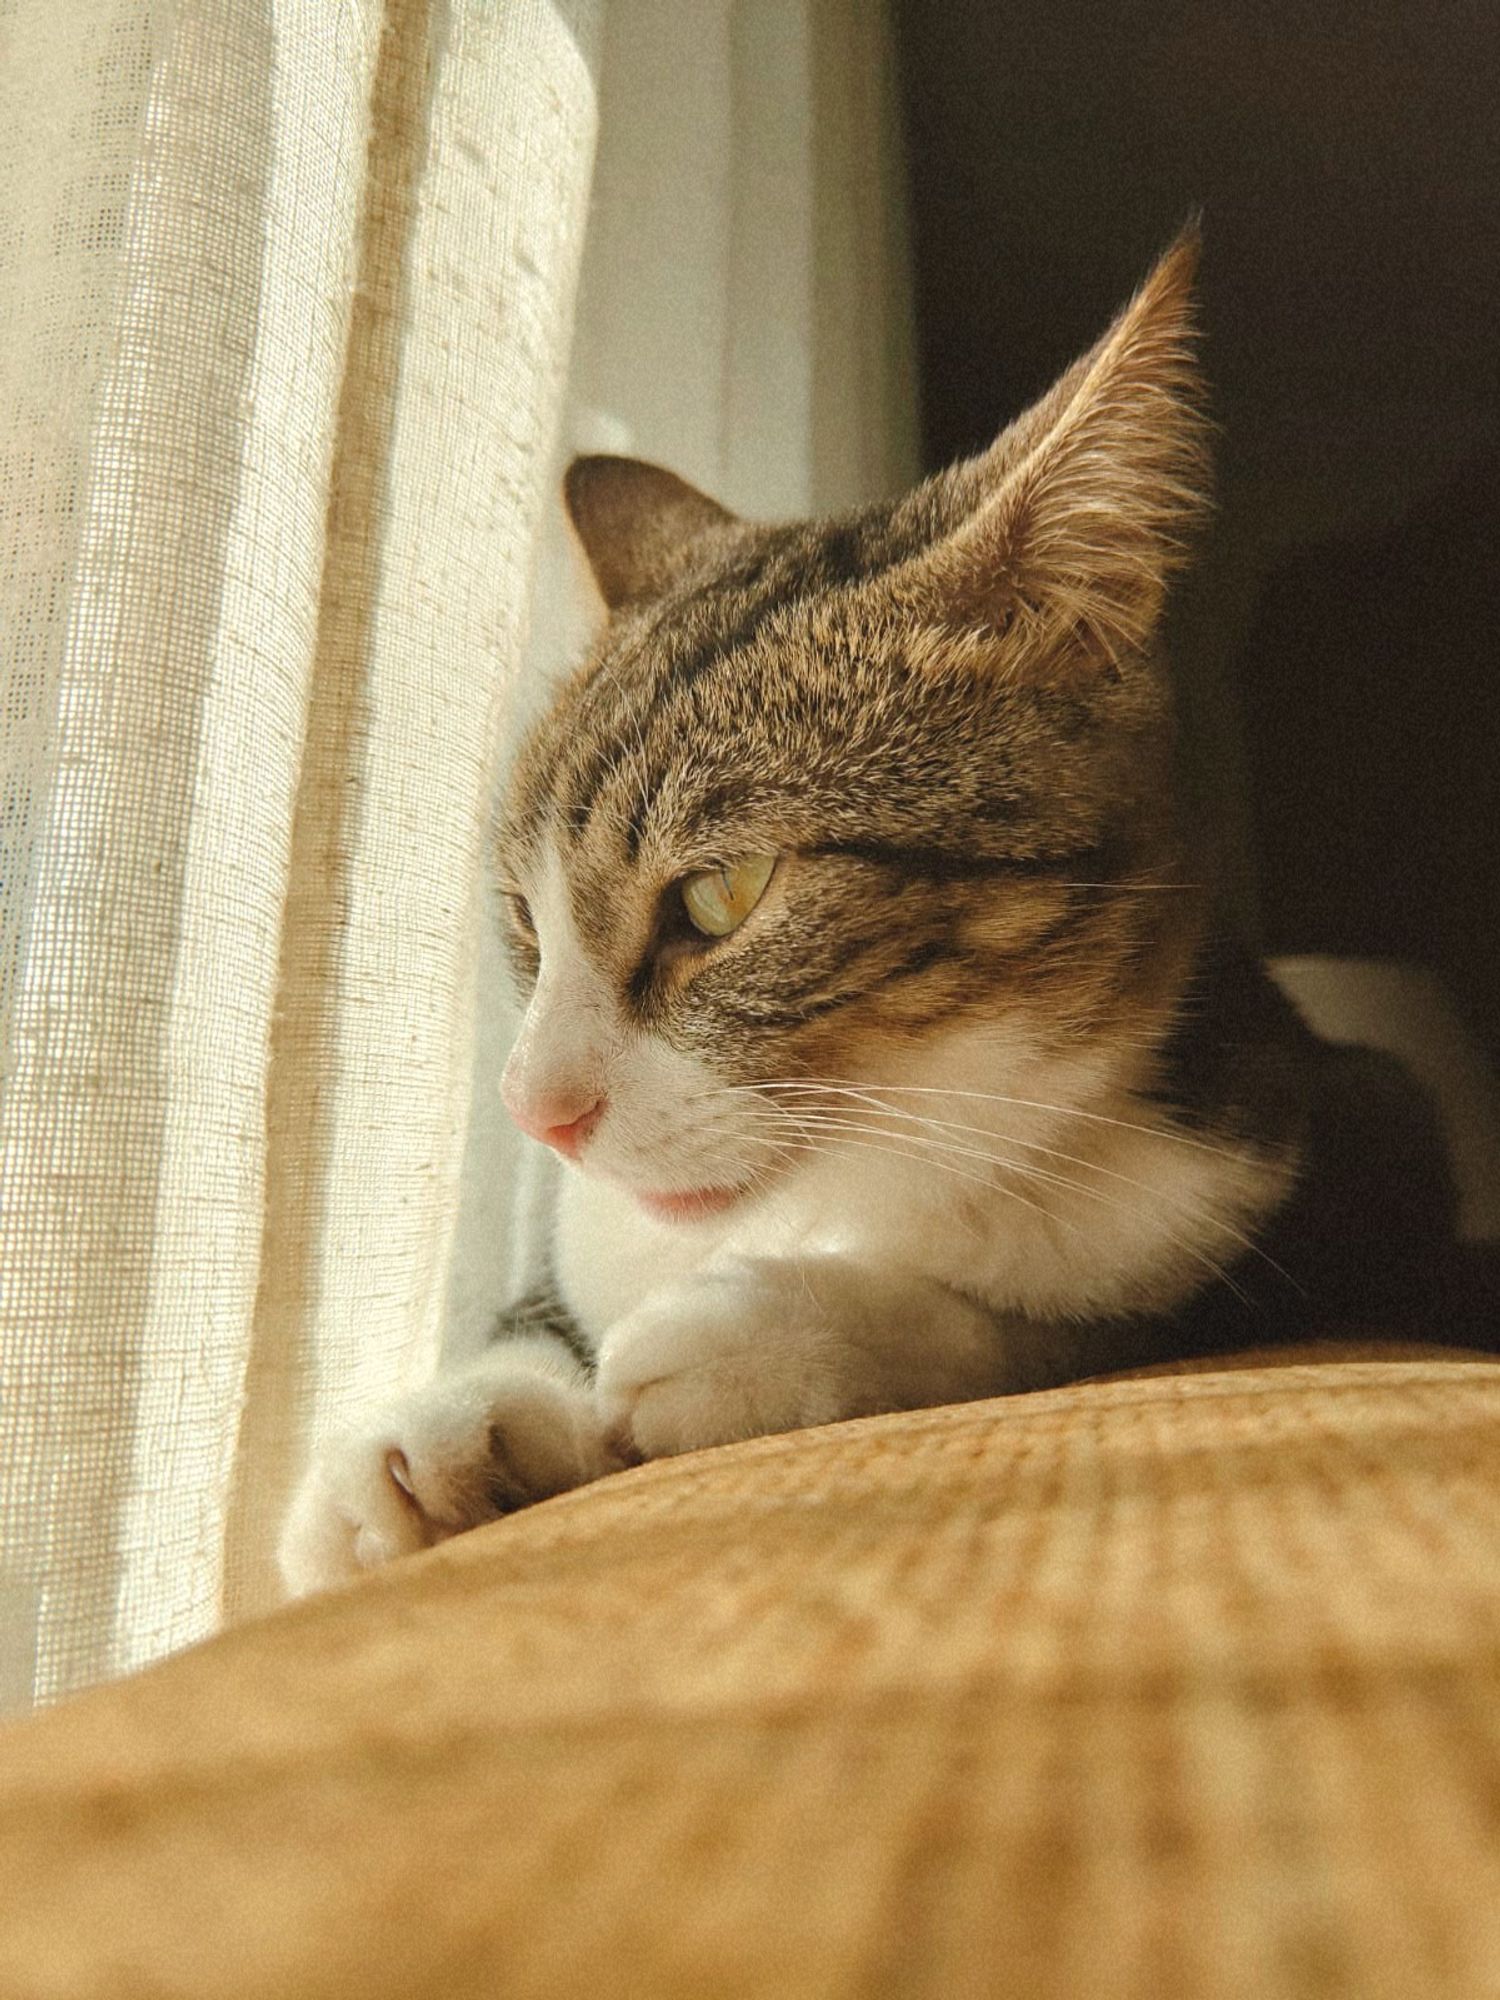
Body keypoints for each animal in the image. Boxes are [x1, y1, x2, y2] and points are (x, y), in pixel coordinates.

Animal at [282, 234, 1456, 1600]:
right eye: (527, 915)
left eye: (721, 893)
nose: (538, 1111)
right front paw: (433, 1427)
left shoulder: (1316, 1139)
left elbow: (1079, 1317)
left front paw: (775, 1331)